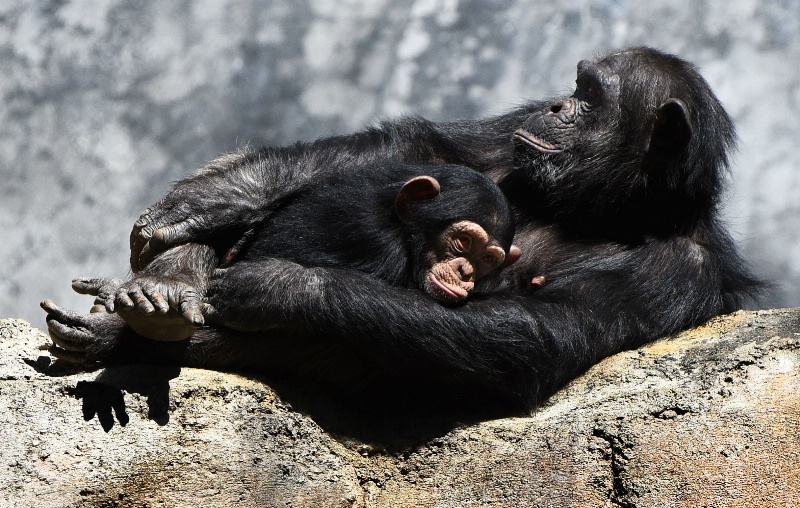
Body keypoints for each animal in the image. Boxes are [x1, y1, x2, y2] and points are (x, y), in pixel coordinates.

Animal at [42, 47, 764, 412]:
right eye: (575, 88)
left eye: (590, 100)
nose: (561, 104)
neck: (608, 205)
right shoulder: (514, 133)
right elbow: (419, 149)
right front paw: (210, 198)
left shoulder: (681, 272)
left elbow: (540, 334)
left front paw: (283, 287)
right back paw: (160, 292)